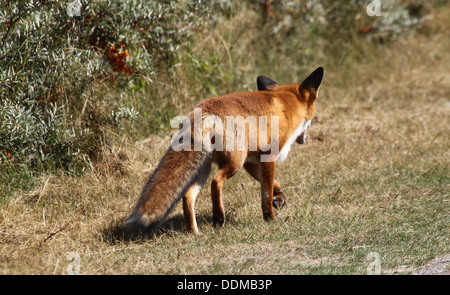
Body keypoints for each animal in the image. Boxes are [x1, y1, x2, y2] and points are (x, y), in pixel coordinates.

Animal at [126, 66, 324, 234]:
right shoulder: (268, 156)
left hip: (203, 170)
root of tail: (202, 110)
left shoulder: (251, 161)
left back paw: (193, 231)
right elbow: (266, 193)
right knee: (216, 183)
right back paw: (218, 217)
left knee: (187, 195)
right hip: (233, 163)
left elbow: (272, 184)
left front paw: (279, 196)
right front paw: (271, 218)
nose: (305, 140)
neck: (286, 104)